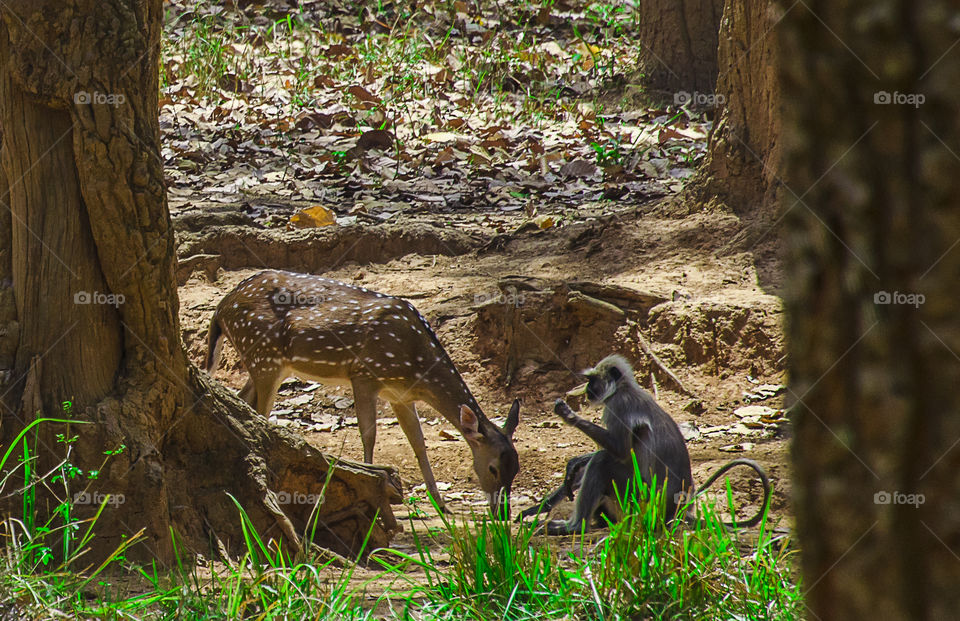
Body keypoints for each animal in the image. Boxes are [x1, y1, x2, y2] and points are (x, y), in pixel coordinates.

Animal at [205, 270, 520, 517]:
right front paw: (374, 486)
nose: (503, 513)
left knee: (242, 399)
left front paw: (441, 504)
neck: (415, 363)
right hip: (264, 355)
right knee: (259, 411)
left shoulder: (400, 396)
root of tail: (221, 307)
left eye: (516, 468)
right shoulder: (365, 374)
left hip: (265, 362)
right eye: (493, 468)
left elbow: (418, 443)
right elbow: (369, 434)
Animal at [522, 355, 771, 535]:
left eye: (593, 380)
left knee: (602, 461)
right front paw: (575, 464)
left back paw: (574, 526)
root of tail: (676, 511)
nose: (587, 390)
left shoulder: (619, 405)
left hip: (639, 503)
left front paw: (568, 415)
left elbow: (619, 449)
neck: (624, 388)